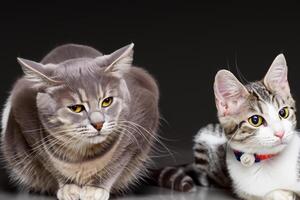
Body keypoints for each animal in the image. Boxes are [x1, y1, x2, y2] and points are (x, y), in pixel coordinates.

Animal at [1, 43, 161, 199]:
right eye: (76, 108)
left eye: (107, 101)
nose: (98, 123)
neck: (84, 155)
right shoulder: (26, 122)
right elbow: (50, 164)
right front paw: (68, 186)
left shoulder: (139, 126)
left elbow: (118, 162)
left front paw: (96, 188)